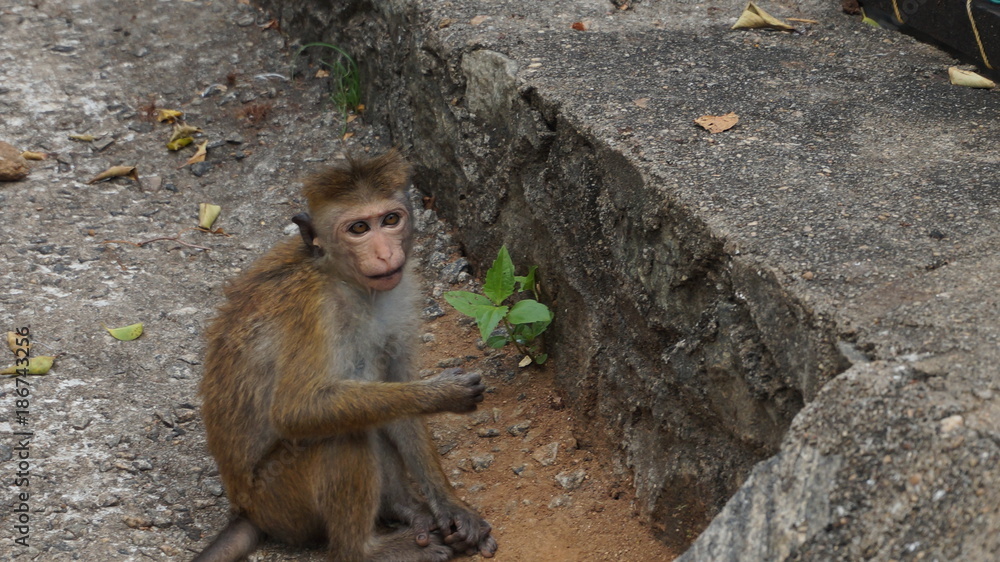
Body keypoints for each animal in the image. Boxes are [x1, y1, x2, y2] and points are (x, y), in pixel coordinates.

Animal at [194, 150, 498, 562]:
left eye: (390, 220)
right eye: (358, 229)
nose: (385, 253)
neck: (344, 280)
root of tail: (246, 510)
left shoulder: (399, 292)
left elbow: (398, 387)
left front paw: (451, 507)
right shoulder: (314, 312)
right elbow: (297, 409)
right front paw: (443, 394)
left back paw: (404, 508)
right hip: (280, 501)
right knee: (341, 432)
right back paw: (366, 549)